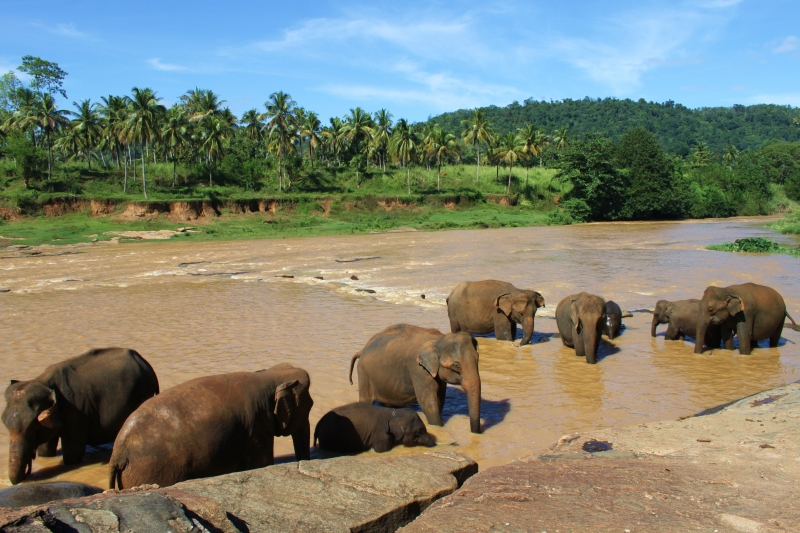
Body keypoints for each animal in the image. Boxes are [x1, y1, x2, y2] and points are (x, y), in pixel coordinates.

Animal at [1, 348, 159, 485]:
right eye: (4, 423)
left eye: (33, 427)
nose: (28, 474)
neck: (43, 380)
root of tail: (143, 361)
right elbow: (45, 450)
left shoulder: (76, 411)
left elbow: (73, 453)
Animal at [108, 363, 312, 489]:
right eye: (310, 405)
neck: (269, 374)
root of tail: (118, 452)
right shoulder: (257, 426)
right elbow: (261, 464)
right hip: (155, 470)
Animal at [349, 324, 482, 433]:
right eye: (456, 365)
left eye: (477, 360)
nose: (475, 433)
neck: (439, 339)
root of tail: (362, 349)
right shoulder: (418, 370)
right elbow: (428, 402)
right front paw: (437, 426)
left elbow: (439, 399)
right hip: (364, 374)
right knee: (366, 400)